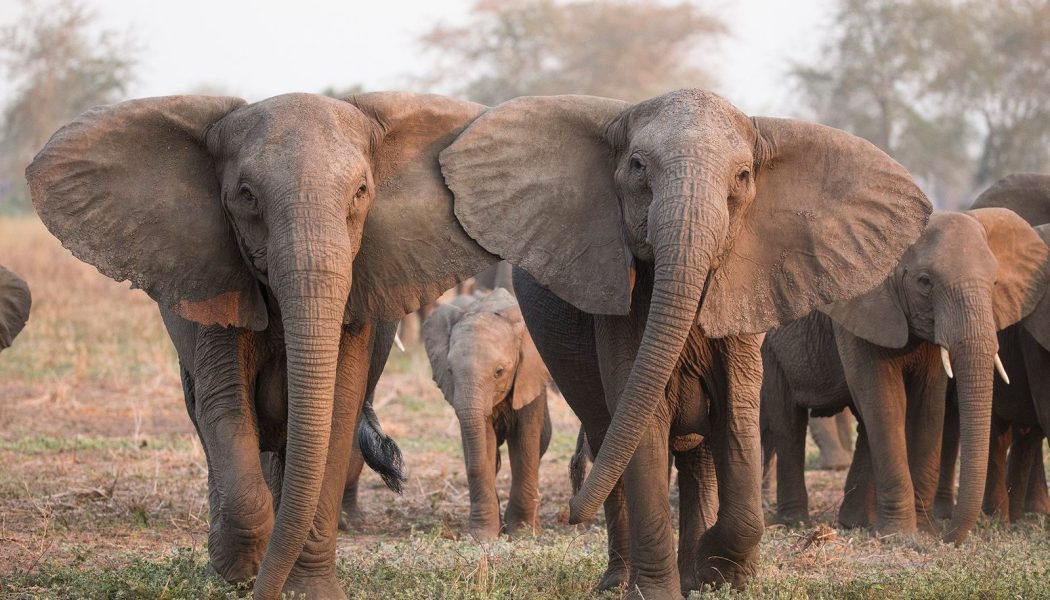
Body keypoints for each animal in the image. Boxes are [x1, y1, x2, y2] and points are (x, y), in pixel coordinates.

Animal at [26, 92, 497, 600]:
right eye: (246, 195)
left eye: (361, 191)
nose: (261, 590)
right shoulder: (216, 284)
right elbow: (226, 408)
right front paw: (238, 575)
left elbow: (335, 413)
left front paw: (307, 591)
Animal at [419, 287, 554, 542]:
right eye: (450, 371)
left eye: (499, 372)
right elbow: (483, 441)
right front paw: (483, 537)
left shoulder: (529, 377)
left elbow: (525, 443)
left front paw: (522, 533)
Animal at [438, 90, 932, 600]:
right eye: (637, 166)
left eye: (743, 176)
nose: (569, 513)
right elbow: (643, 422)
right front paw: (667, 588)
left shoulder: (745, 291)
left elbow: (737, 415)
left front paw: (720, 569)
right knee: (609, 436)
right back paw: (619, 582)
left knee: (698, 456)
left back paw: (693, 571)